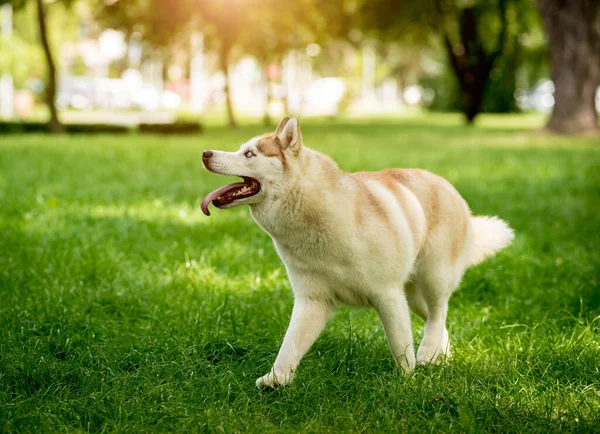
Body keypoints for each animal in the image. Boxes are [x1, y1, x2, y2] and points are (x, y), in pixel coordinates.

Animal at [199, 116, 512, 390]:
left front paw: (406, 383)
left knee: (438, 312)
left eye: (249, 153)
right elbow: (290, 345)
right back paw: (438, 354)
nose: (205, 153)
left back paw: (428, 351)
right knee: (438, 319)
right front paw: (277, 380)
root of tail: (447, 186)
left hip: (433, 276)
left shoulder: (387, 295)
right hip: (412, 294)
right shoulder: (312, 301)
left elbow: (400, 347)